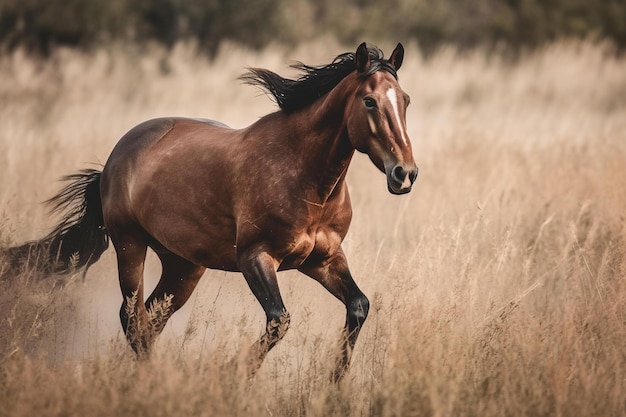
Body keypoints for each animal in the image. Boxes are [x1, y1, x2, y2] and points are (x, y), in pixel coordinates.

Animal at [4, 43, 416, 380]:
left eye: (405, 100)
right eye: (369, 101)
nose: (404, 174)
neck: (304, 172)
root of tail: (113, 158)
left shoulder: (323, 259)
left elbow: (358, 306)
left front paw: (333, 384)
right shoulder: (256, 258)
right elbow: (279, 321)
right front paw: (233, 376)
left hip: (184, 266)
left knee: (151, 319)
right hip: (130, 246)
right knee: (133, 317)